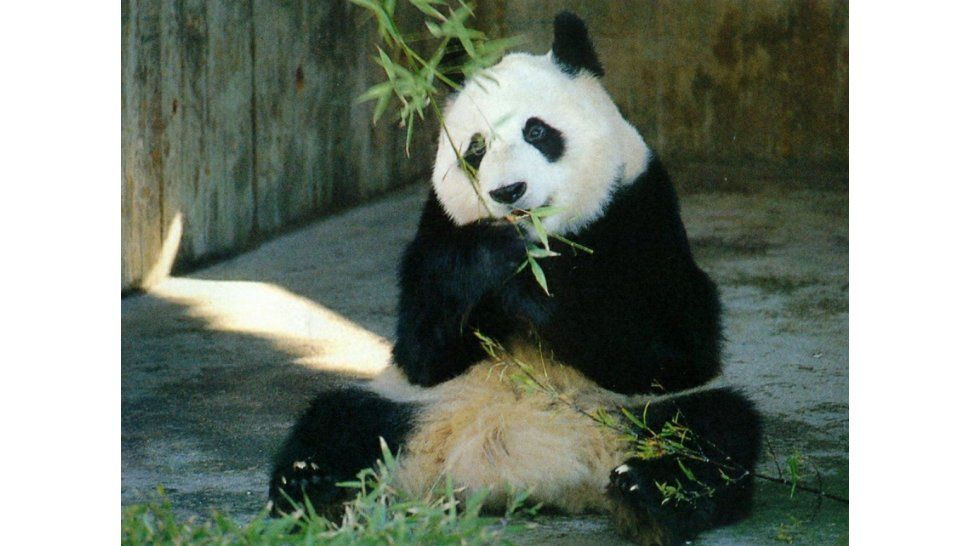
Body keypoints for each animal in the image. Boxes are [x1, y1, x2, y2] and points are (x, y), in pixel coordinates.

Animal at [269, 12, 762, 546]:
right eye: (475, 149)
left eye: (537, 130)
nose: (509, 191)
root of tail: (520, 471)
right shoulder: (437, 229)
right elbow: (422, 349)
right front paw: (497, 260)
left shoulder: (642, 209)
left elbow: (675, 346)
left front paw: (543, 292)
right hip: (411, 409)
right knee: (336, 421)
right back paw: (311, 489)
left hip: (633, 415)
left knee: (714, 433)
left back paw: (646, 496)